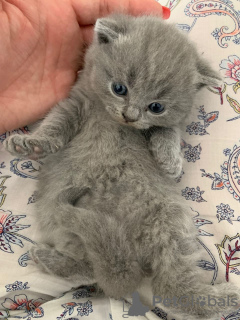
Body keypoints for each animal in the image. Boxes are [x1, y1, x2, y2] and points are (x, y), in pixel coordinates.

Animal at [3, 14, 238, 320]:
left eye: (156, 107)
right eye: (119, 89)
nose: (130, 115)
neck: (111, 119)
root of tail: (132, 256)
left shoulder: (157, 125)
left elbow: (167, 130)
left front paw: (170, 162)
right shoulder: (77, 103)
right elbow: (55, 125)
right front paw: (30, 144)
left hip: (168, 222)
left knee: (169, 284)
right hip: (67, 226)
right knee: (97, 272)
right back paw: (50, 259)